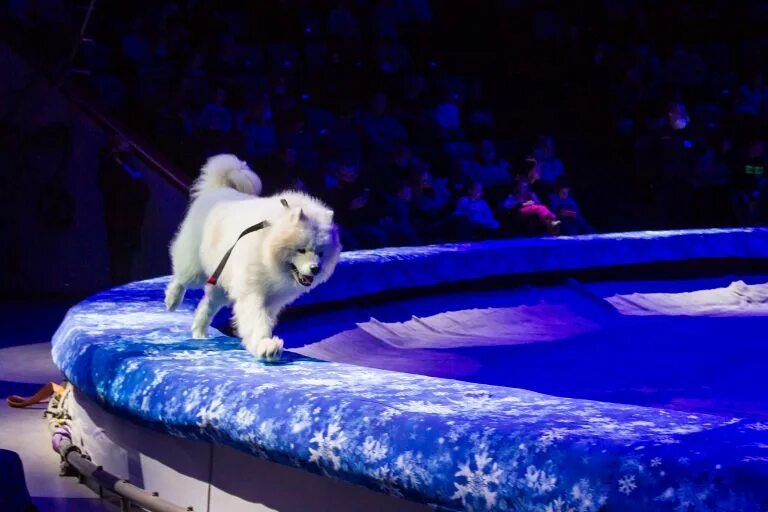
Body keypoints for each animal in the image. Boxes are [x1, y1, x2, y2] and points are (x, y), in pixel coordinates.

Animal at [164, 155, 340, 360]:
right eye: (301, 250)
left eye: (320, 253)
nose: (315, 268)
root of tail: (217, 189)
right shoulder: (252, 291)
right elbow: (256, 319)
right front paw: (266, 347)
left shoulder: (273, 300)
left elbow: (262, 321)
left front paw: (259, 344)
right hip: (196, 269)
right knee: (181, 278)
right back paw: (172, 301)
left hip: (223, 285)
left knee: (206, 305)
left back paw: (199, 332)